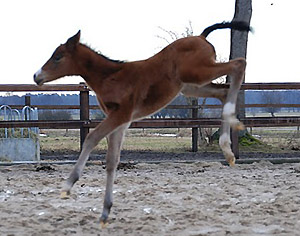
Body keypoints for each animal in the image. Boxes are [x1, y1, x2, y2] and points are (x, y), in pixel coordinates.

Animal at [34, 21, 251, 225]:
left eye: (58, 56)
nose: (37, 76)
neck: (111, 76)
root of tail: (201, 36)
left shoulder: (120, 114)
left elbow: (91, 138)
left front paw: (68, 185)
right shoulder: (121, 121)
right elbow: (112, 160)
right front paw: (105, 212)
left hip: (196, 73)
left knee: (239, 64)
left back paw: (230, 130)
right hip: (191, 85)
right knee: (223, 92)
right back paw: (228, 149)